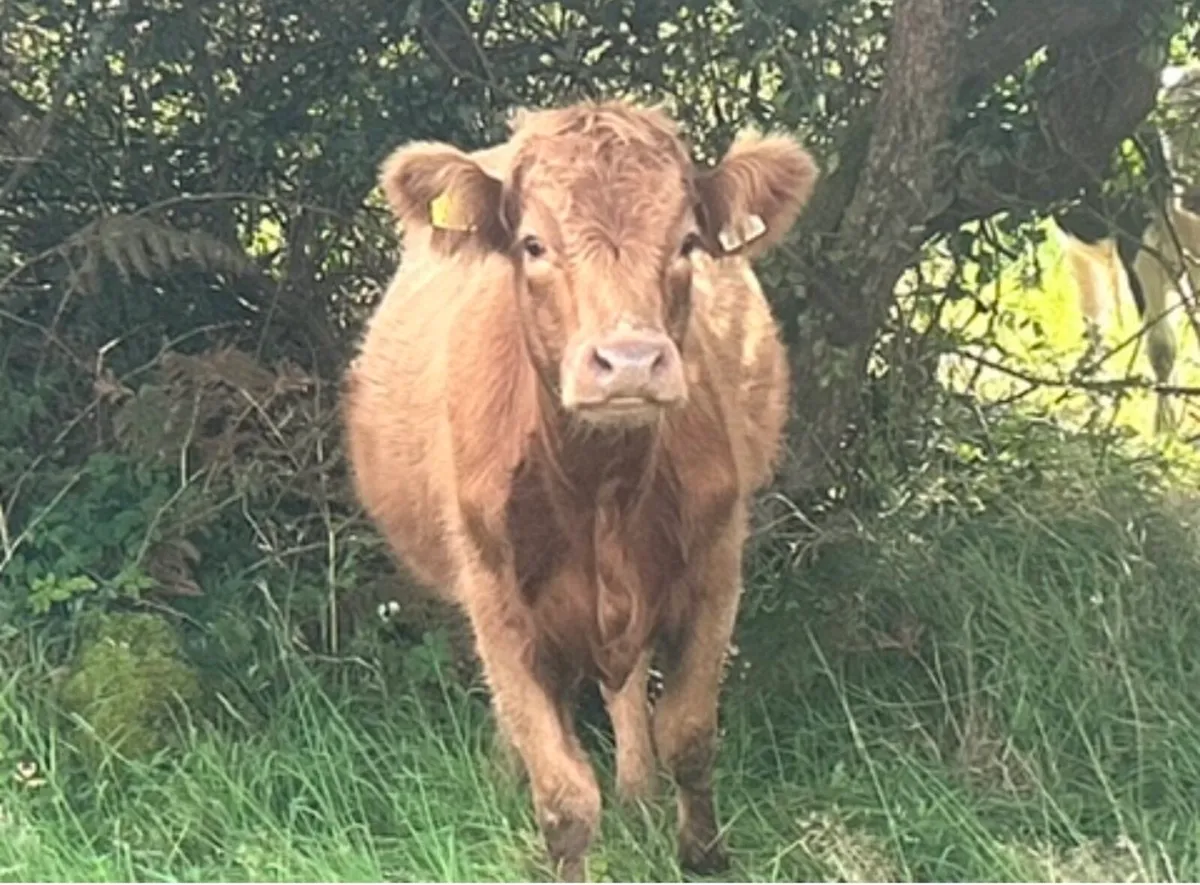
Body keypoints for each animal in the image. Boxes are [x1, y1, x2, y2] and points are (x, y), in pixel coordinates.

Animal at [341, 99, 817, 879]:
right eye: (532, 244)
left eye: (688, 242)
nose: (629, 362)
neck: (603, 489)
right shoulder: (499, 602)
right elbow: (563, 792)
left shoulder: (716, 568)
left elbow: (689, 733)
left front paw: (703, 854)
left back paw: (639, 793)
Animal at [1054, 63, 1200, 434]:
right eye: (1169, 128)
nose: (1191, 195)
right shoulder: (1136, 244)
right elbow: (1161, 346)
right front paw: (1165, 433)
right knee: (1096, 328)